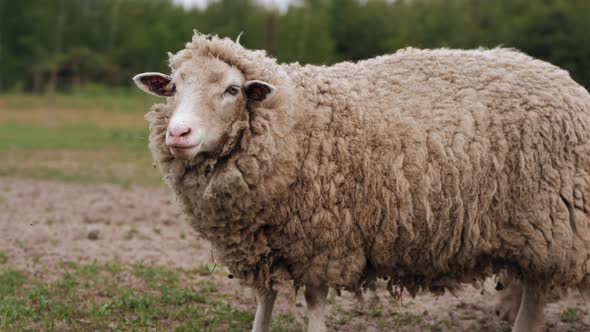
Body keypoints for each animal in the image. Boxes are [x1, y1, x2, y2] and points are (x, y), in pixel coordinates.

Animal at [133, 31, 590, 332]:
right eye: (172, 87)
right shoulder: (265, 241)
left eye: (232, 90)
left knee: (536, 300)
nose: (178, 133)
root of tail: (570, 84)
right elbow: (264, 301)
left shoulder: (324, 239)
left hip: (554, 227)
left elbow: (315, 303)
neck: (295, 118)